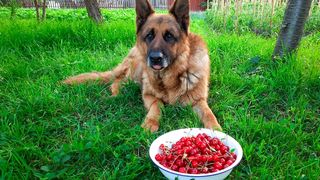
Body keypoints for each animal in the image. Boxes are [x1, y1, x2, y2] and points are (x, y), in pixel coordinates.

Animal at [63, 0, 221, 132]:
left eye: (169, 36)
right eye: (149, 35)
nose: (155, 59)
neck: (169, 78)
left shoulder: (199, 101)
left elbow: (209, 114)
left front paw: (216, 130)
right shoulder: (148, 95)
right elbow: (157, 104)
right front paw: (150, 122)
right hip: (137, 67)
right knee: (117, 81)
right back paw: (115, 95)